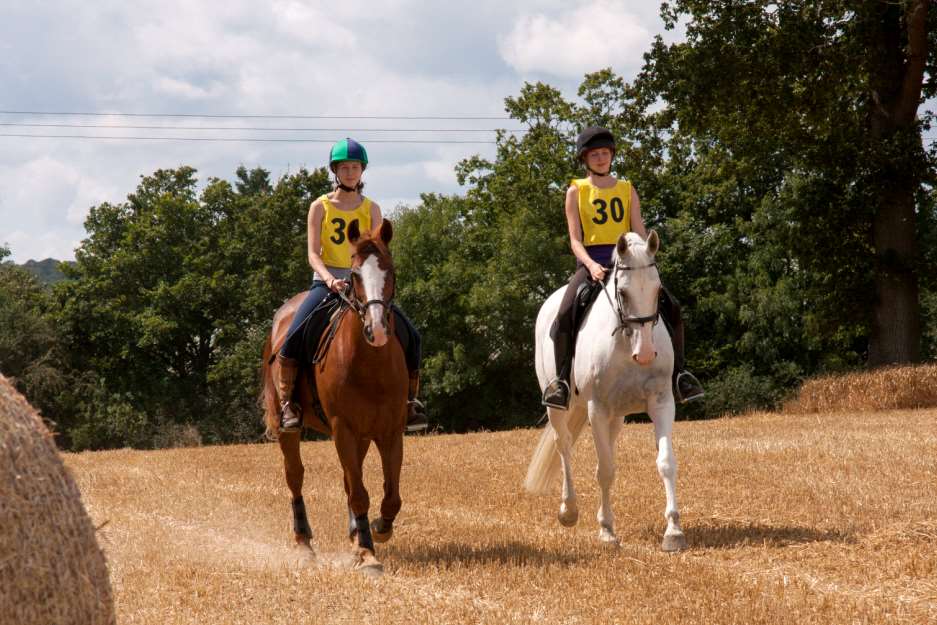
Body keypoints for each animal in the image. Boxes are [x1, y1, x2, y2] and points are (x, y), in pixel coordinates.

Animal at [264, 217, 410, 572]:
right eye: (354, 275)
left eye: (390, 271)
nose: (377, 330)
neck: (370, 363)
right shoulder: (342, 428)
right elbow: (359, 492)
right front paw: (368, 553)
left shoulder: (390, 430)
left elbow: (390, 495)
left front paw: (377, 530)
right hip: (287, 428)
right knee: (295, 477)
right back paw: (304, 543)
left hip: (362, 436)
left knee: (348, 478)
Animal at [528, 230, 688, 552]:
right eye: (623, 293)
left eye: (658, 291)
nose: (646, 354)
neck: (627, 341)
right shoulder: (597, 408)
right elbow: (605, 471)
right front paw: (606, 532)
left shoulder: (662, 402)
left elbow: (665, 462)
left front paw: (674, 531)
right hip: (557, 407)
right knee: (564, 446)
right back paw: (569, 511)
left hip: (617, 415)